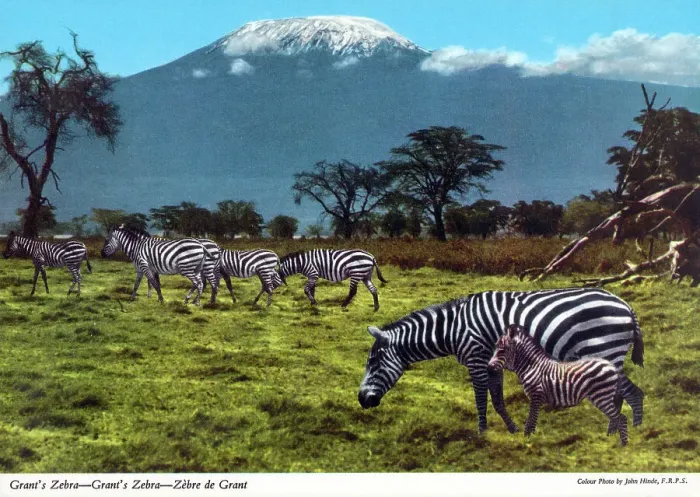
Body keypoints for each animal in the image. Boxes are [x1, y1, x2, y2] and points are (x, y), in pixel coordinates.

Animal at [488, 324, 628, 446]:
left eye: (501, 350)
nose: (489, 367)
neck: (532, 366)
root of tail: (611, 365)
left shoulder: (536, 396)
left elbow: (531, 421)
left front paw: (528, 439)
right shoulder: (537, 398)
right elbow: (533, 421)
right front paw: (530, 439)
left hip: (602, 396)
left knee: (621, 417)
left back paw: (622, 444)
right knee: (617, 417)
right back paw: (611, 438)